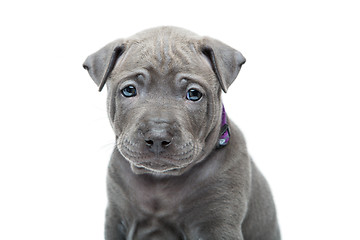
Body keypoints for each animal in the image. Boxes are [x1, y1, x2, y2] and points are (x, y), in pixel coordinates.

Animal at [83, 26, 280, 240]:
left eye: (193, 94)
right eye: (129, 90)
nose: (158, 136)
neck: (160, 180)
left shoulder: (218, 224)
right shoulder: (117, 218)